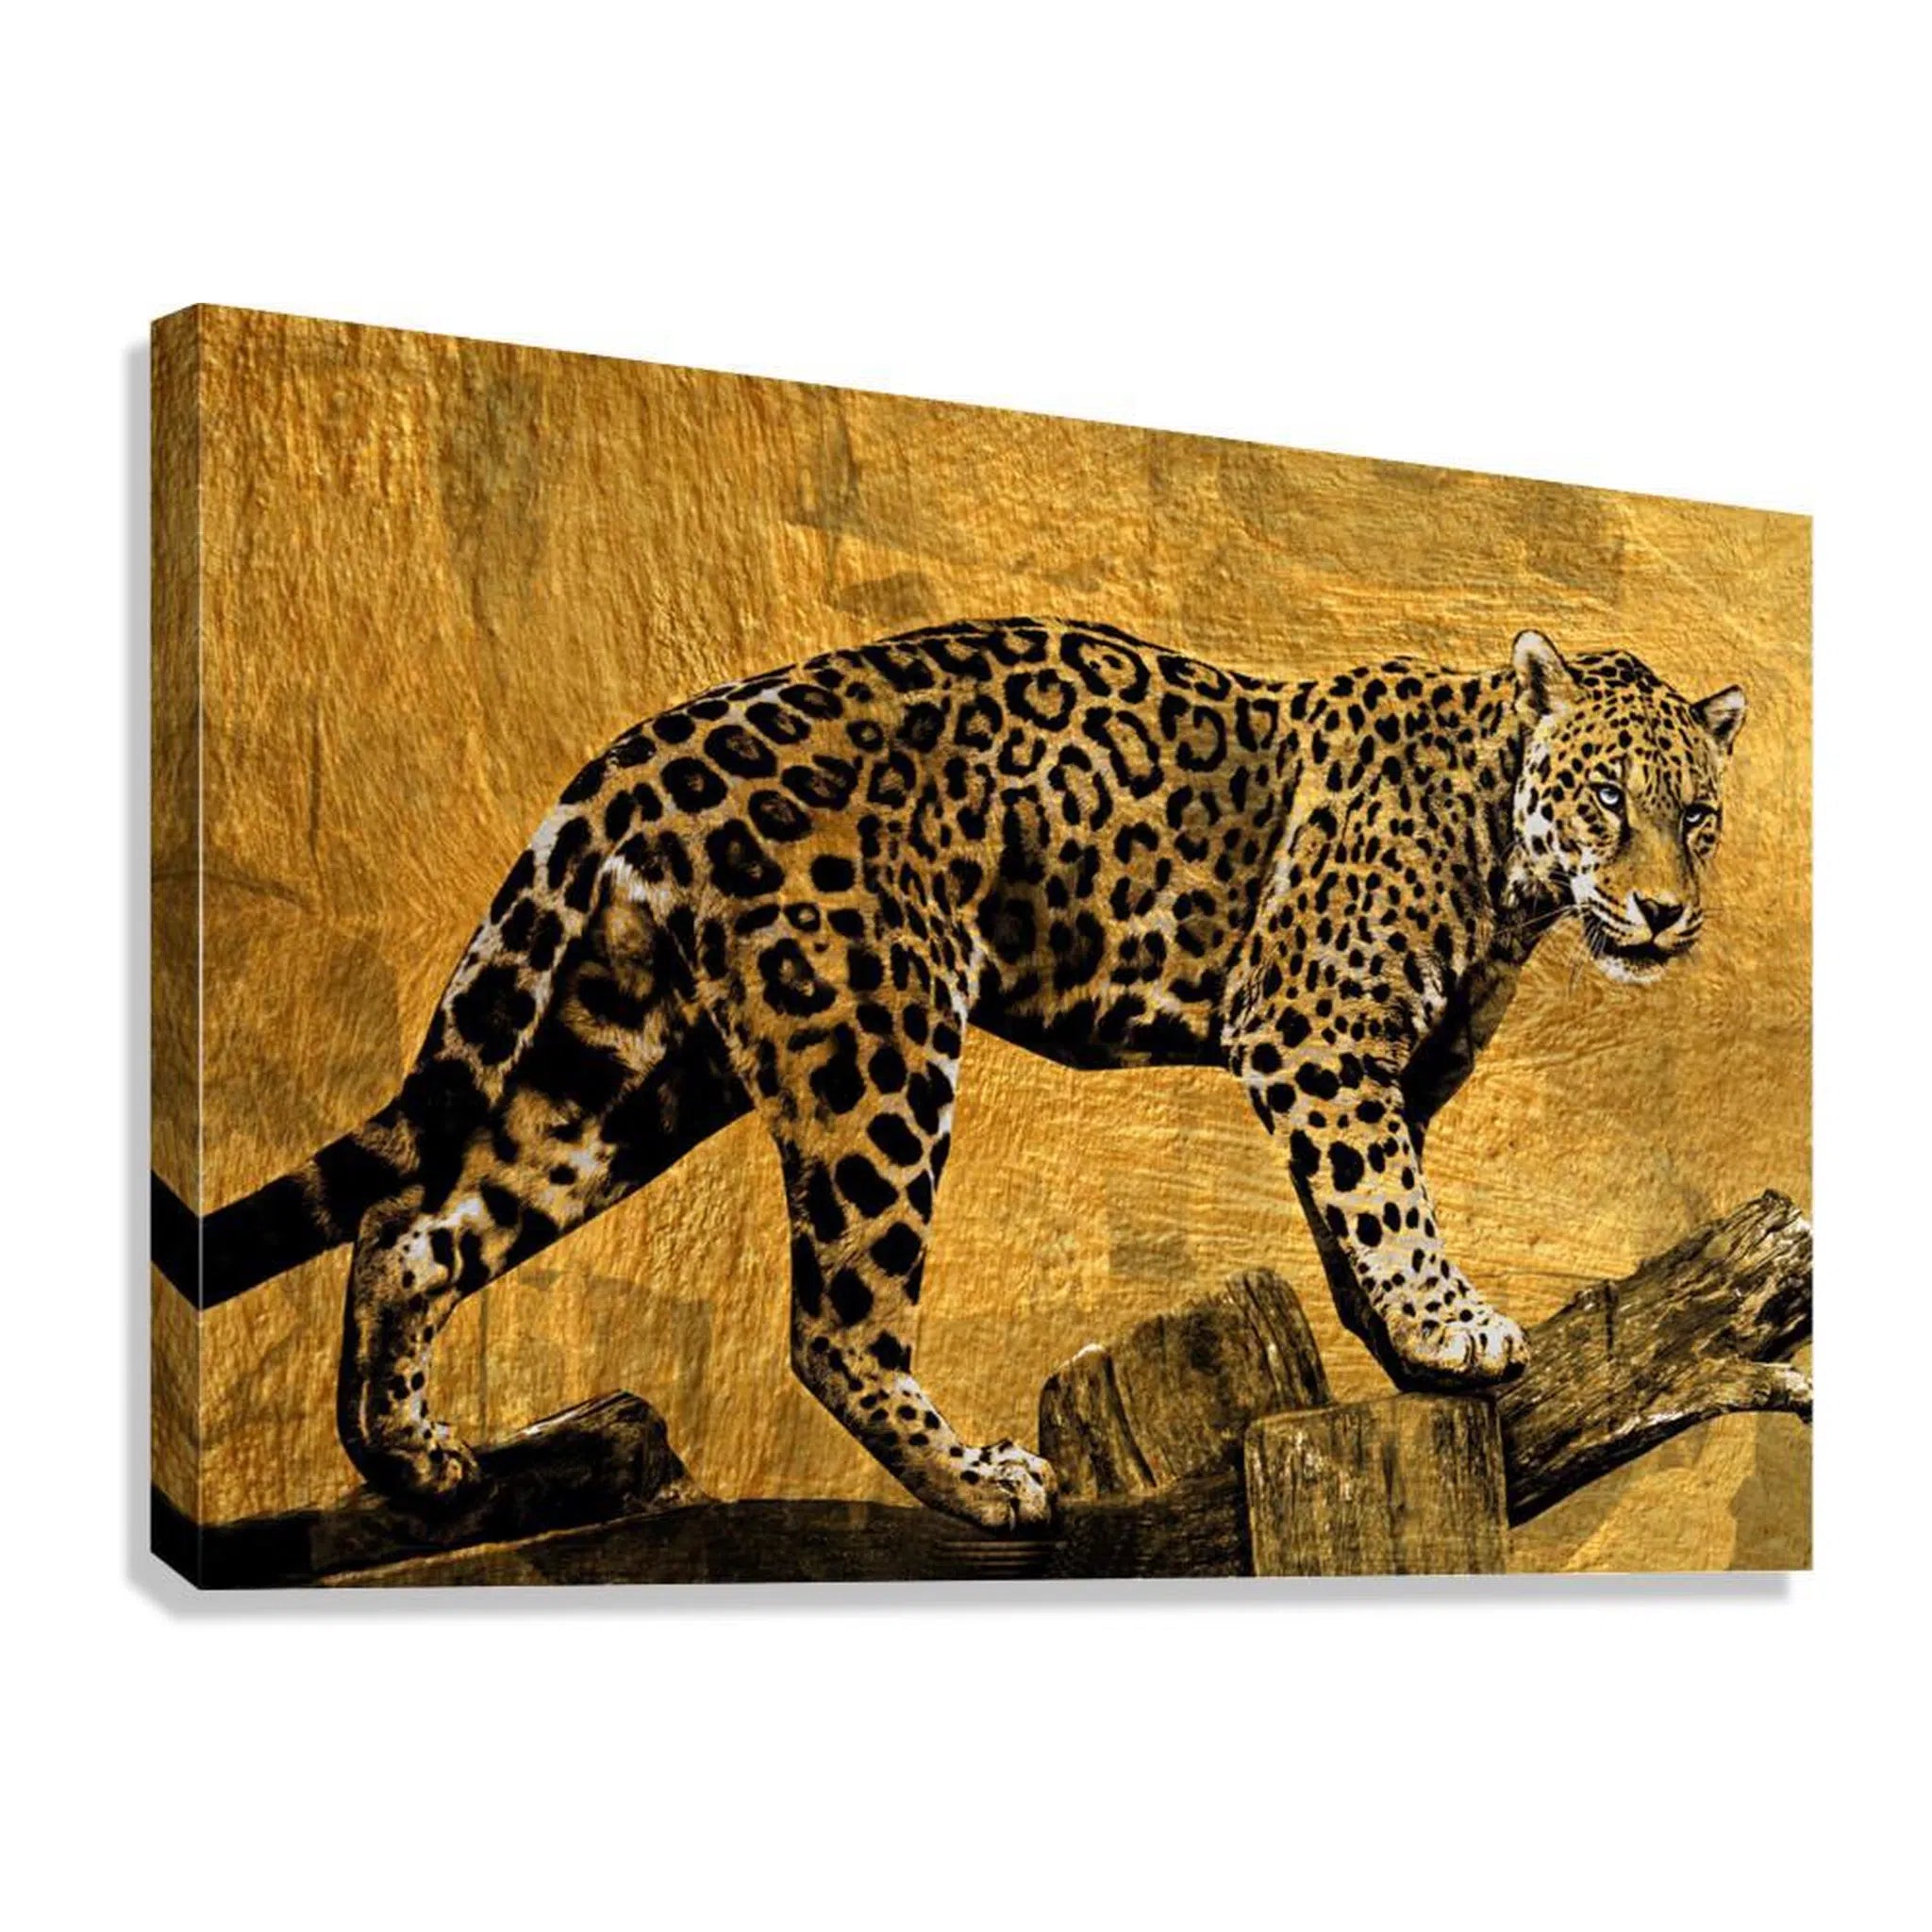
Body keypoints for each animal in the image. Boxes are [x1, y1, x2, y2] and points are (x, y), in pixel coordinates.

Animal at [197, 618, 1746, 1533]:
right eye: (1606, 800)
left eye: (1700, 816)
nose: (1665, 913)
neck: (1506, 867)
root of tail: (650, 744)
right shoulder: (1314, 1035)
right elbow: (1387, 1208)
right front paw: (1452, 1328)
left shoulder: (1377, 1072)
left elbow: (1354, 1215)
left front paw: (1406, 1352)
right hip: (873, 1046)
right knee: (834, 1327)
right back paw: (982, 1480)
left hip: (622, 1066)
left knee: (413, 1227)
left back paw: (402, 1452)